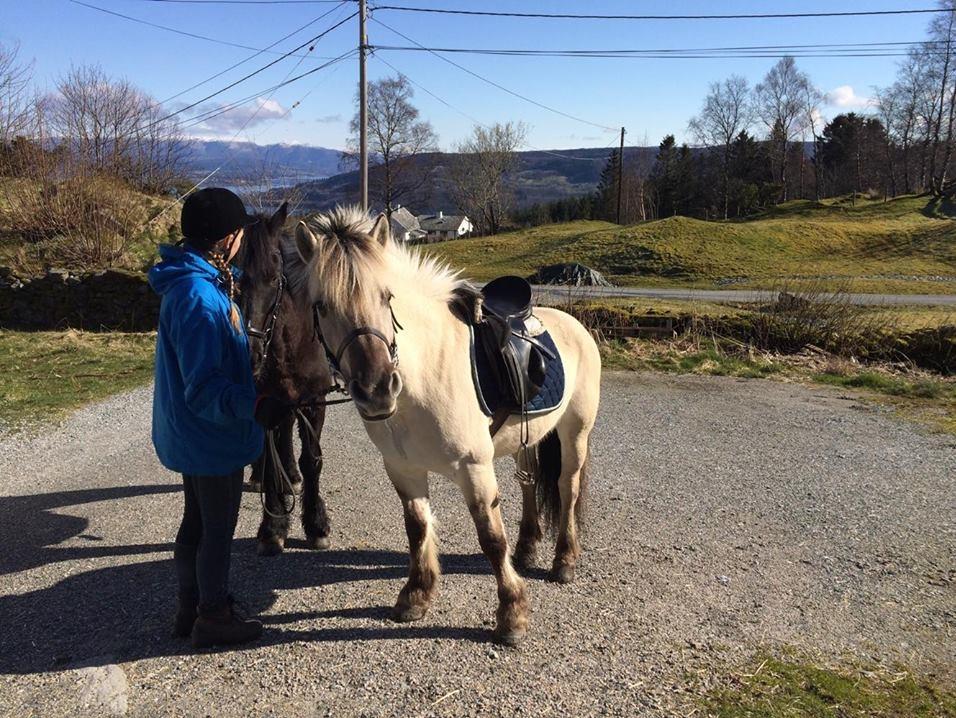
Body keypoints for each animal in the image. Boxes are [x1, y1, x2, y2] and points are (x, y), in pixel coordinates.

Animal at [241, 202, 334, 556]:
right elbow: (270, 460)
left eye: (274, 277)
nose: (251, 353)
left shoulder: (314, 402)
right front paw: (273, 526)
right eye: (236, 278)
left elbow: (312, 460)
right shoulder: (265, 404)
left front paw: (316, 524)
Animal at [288, 207, 600, 648]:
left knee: (566, 487)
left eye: (386, 297)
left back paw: (564, 560)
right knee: (529, 484)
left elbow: (491, 538)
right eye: (321, 306)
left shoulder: (474, 468)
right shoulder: (402, 468)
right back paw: (527, 549)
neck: (424, 376)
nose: (377, 390)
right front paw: (415, 596)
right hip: (527, 439)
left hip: (575, 432)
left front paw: (512, 614)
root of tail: (573, 323)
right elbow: (418, 528)